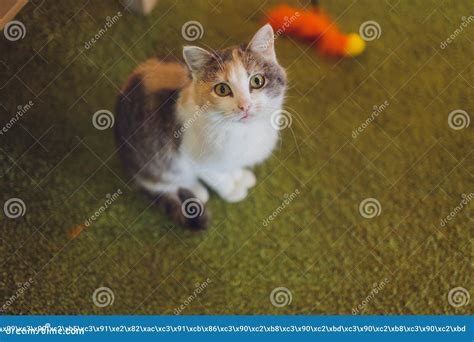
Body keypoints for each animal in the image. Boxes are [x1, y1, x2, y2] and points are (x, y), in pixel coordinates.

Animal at [115, 24, 286, 230]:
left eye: (257, 81)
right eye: (222, 89)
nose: (244, 105)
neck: (243, 131)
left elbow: (231, 165)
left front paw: (240, 176)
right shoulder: (193, 156)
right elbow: (217, 175)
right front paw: (232, 190)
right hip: (153, 164)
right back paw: (196, 189)